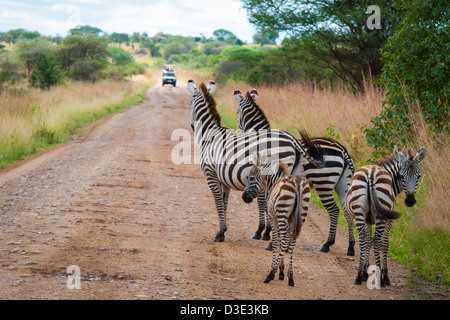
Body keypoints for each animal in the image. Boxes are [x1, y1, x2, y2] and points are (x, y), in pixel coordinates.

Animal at [186, 80, 324, 242]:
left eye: (190, 103)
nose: (192, 126)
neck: (210, 135)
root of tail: (293, 140)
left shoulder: (211, 175)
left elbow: (219, 202)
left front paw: (221, 232)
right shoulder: (224, 179)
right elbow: (225, 203)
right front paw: (224, 230)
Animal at [234, 88, 356, 255]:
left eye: (237, 112)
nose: (239, 134)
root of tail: (343, 150)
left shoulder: (265, 179)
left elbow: (262, 202)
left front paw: (262, 232)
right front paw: (268, 232)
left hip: (323, 183)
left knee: (334, 210)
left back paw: (327, 244)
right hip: (342, 183)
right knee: (346, 211)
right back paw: (350, 247)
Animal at [241, 151, 312, 286]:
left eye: (251, 178)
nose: (244, 197)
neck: (275, 181)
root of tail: (298, 182)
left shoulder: (273, 217)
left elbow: (275, 241)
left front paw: (278, 271)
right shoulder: (290, 220)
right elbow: (285, 242)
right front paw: (283, 272)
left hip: (282, 213)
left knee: (284, 240)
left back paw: (270, 274)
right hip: (301, 215)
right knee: (292, 241)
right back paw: (291, 277)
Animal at [346, 145, 428, 284]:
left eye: (418, 176)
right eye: (402, 176)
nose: (410, 201)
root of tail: (371, 174)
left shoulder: (368, 219)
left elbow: (368, 241)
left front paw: (365, 272)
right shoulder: (389, 219)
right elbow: (384, 243)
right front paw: (385, 275)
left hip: (359, 213)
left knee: (362, 239)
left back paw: (358, 276)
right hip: (381, 216)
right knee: (378, 242)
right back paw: (380, 278)